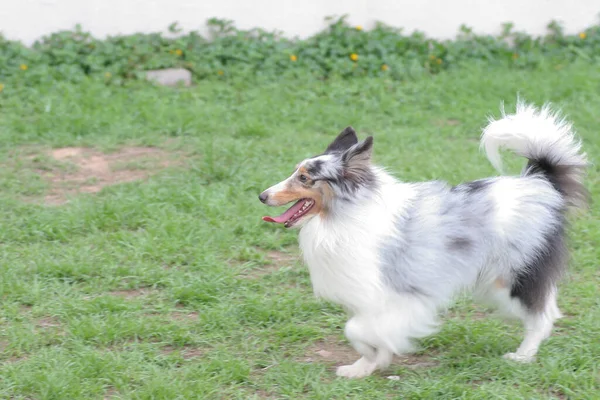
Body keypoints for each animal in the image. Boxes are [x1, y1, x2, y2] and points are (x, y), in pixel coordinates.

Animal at [256, 101, 584, 380]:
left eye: (304, 178)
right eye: (295, 173)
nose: (261, 196)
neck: (344, 214)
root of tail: (541, 183)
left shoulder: (402, 296)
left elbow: (356, 330)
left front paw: (373, 357)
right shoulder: (370, 298)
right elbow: (366, 334)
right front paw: (365, 366)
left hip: (511, 279)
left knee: (542, 315)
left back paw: (523, 356)